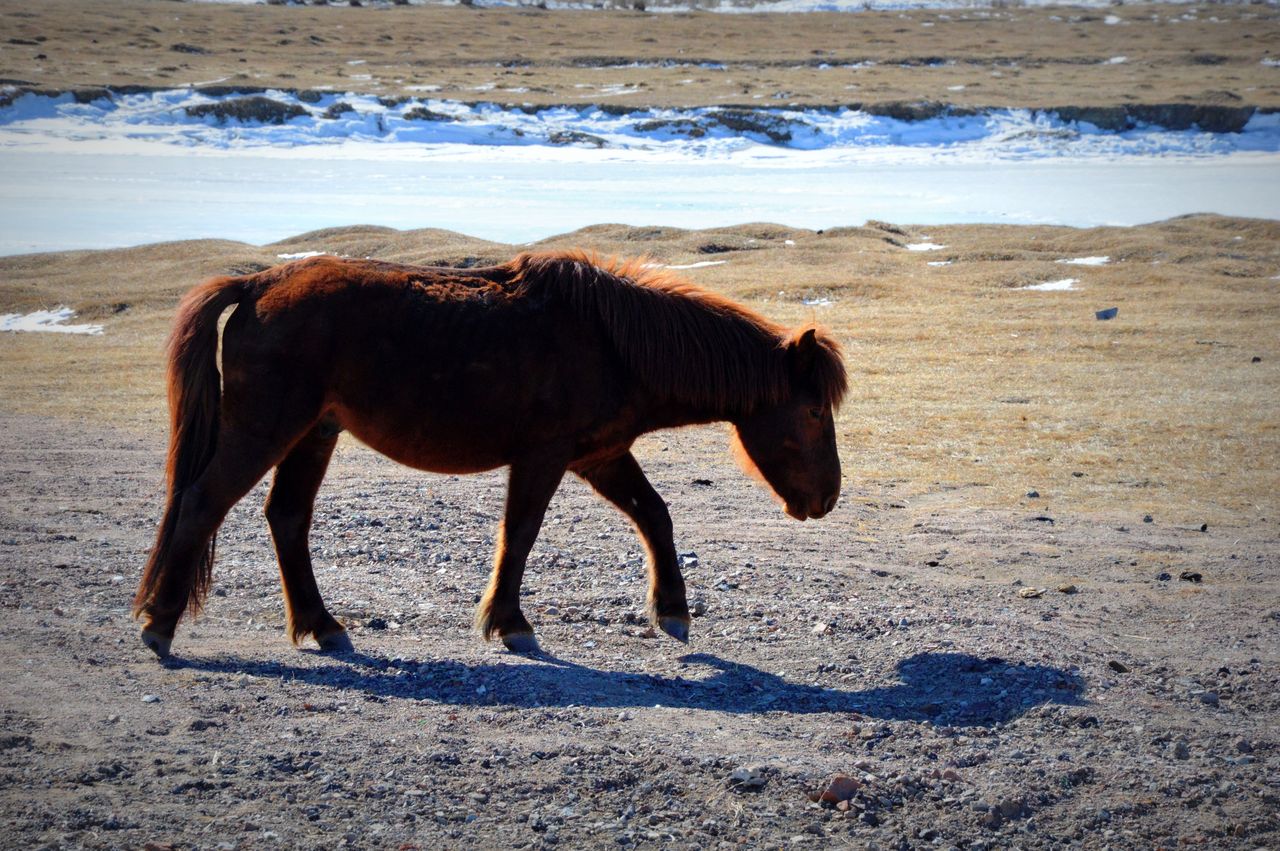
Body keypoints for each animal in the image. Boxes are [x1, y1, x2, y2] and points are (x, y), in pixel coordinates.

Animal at [132, 246, 849, 655]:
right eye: (815, 411)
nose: (827, 498)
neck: (611, 342)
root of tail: (257, 285)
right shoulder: (545, 457)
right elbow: (521, 534)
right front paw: (510, 623)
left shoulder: (599, 456)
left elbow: (656, 515)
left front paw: (671, 611)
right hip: (266, 431)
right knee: (202, 505)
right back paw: (160, 625)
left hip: (313, 435)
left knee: (286, 519)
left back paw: (323, 624)